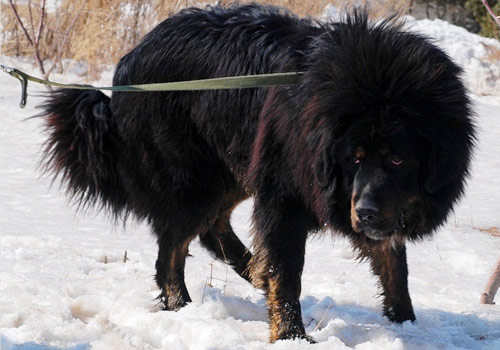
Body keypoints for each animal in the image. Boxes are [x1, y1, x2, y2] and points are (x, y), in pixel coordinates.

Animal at [38, 2, 472, 342]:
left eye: (397, 160)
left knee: (211, 229)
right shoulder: (287, 196)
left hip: (233, 166)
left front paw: (405, 323)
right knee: (173, 247)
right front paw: (291, 335)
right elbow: (287, 272)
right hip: (196, 177)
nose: (364, 212)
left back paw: (249, 273)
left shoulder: (370, 202)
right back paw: (182, 305)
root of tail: (130, 61)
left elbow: (394, 264)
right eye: (355, 158)